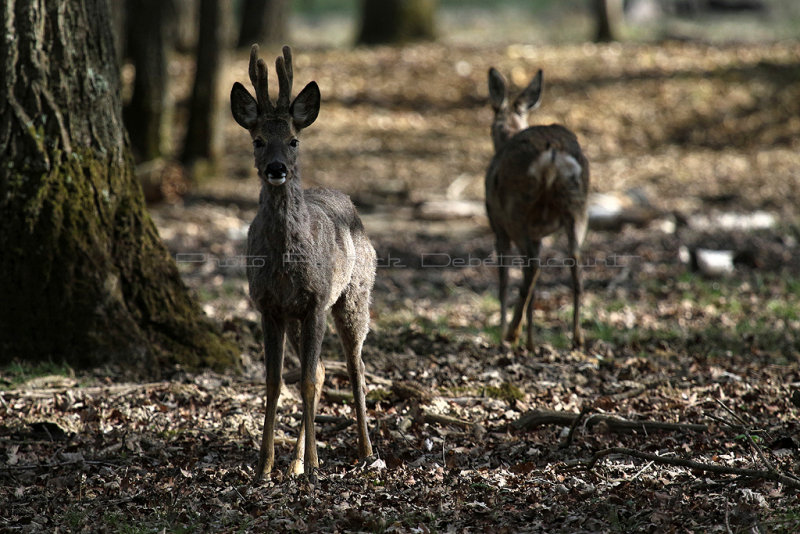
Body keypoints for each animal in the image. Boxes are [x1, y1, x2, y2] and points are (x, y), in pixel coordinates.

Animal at [230, 46, 376, 486]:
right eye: (258, 140)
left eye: (294, 140)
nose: (276, 168)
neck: (284, 265)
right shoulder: (268, 306)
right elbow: (275, 383)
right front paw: (264, 468)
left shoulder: (315, 302)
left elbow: (308, 382)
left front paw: (314, 467)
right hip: (299, 318)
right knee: (327, 369)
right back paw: (293, 464)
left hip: (353, 297)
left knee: (355, 367)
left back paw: (366, 452)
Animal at [484, 67, 592, 352]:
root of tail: (552, 154)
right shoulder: (539, 234)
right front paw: (531, 342)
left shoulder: (497, 226)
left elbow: (503, 279)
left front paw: (504, 333)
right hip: (578, 206)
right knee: (575, 263)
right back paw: (577, 338)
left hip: (516, 210)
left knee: (532, 267)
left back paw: (510, 334)